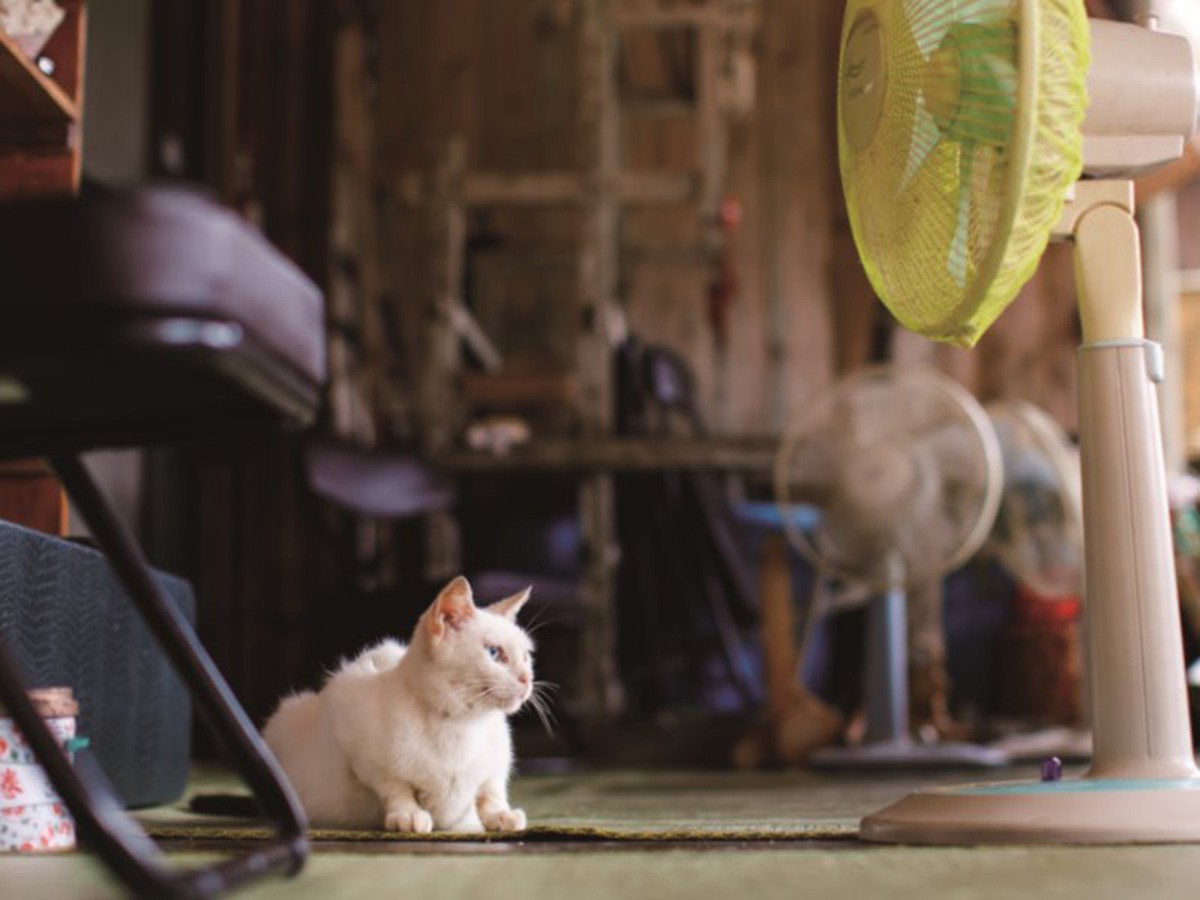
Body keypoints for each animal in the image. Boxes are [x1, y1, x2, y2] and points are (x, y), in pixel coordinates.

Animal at [267, 578, 540, 830]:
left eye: (526, 657)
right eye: (494, 653)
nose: (527, 679)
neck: (463, 725)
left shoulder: (497, 765)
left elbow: (490, 792)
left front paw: (501, 816)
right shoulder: (360, 748)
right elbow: (396, 789)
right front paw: (409, 815)